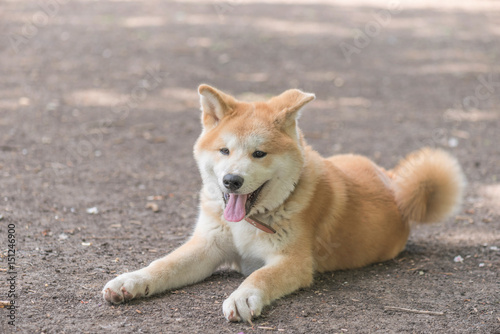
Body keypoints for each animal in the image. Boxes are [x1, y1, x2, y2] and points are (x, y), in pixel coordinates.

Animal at [103, 84, 466, 324]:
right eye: (224, 150)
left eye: (259, 153)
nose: (231, 180)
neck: (248, 221)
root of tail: (393, 184)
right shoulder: (207, 246)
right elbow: (163, 265)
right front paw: (130, 281)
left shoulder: (293, 261)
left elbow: (260, 277)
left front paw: (242, 296)